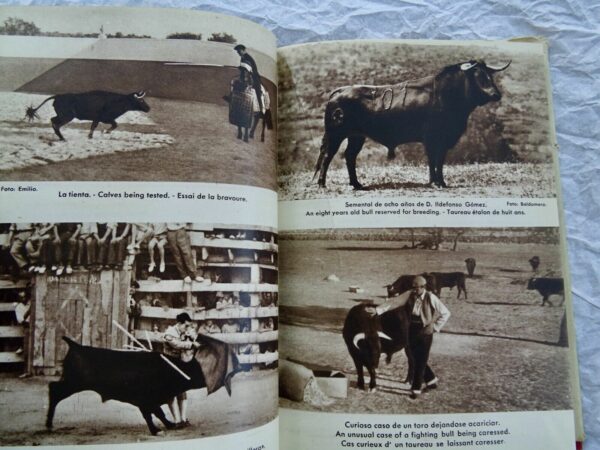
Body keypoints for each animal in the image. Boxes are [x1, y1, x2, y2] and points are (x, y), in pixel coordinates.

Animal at [45, 336, 238, 434]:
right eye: (197, 369)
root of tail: (75, 346)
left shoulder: (150, 400)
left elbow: (158, 413)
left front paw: (169, 425)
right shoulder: (145, 400)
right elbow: (153, 414)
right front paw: (157, 430)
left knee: (54, 389)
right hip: (73, 383)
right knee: (54, 390)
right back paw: (48, 424)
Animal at [314, 59, 510, 189]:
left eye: (490, 75)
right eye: (478, 75)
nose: (496, 94)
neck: (445, 95)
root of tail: (341, 91)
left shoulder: (444, 139)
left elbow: (440, 160)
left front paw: (442, 182)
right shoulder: (432, 137)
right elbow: (432, 159)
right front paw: (435, 182)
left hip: (356, 136)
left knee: (349, 156)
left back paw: (356, 184)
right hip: (336, 134)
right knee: (328, 156)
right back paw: (322, 184)